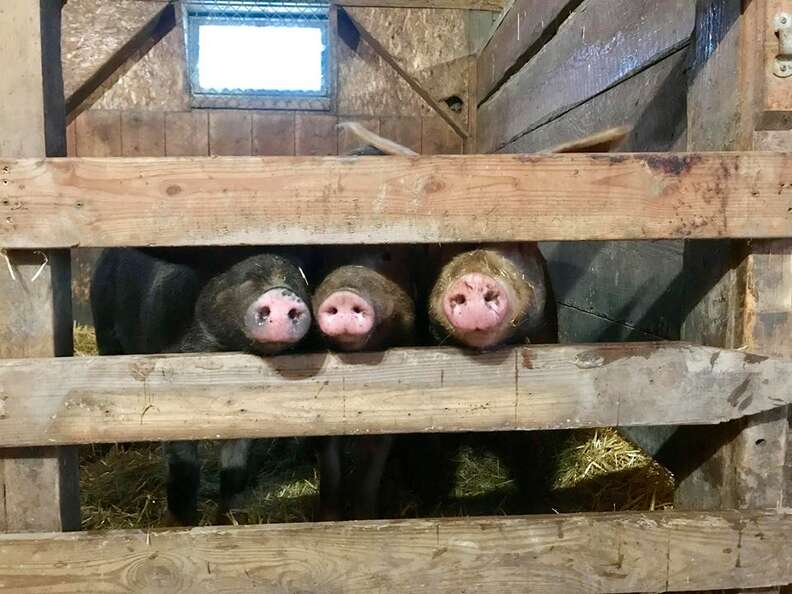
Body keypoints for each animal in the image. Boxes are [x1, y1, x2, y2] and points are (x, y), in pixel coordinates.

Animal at [91, 247, 313, 524]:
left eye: (298, 280)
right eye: (246, 277)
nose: (283, 294)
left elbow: (235, 471)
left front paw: (229, 521)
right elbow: (184, 470)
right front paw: (183, 524)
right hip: (106, 334)